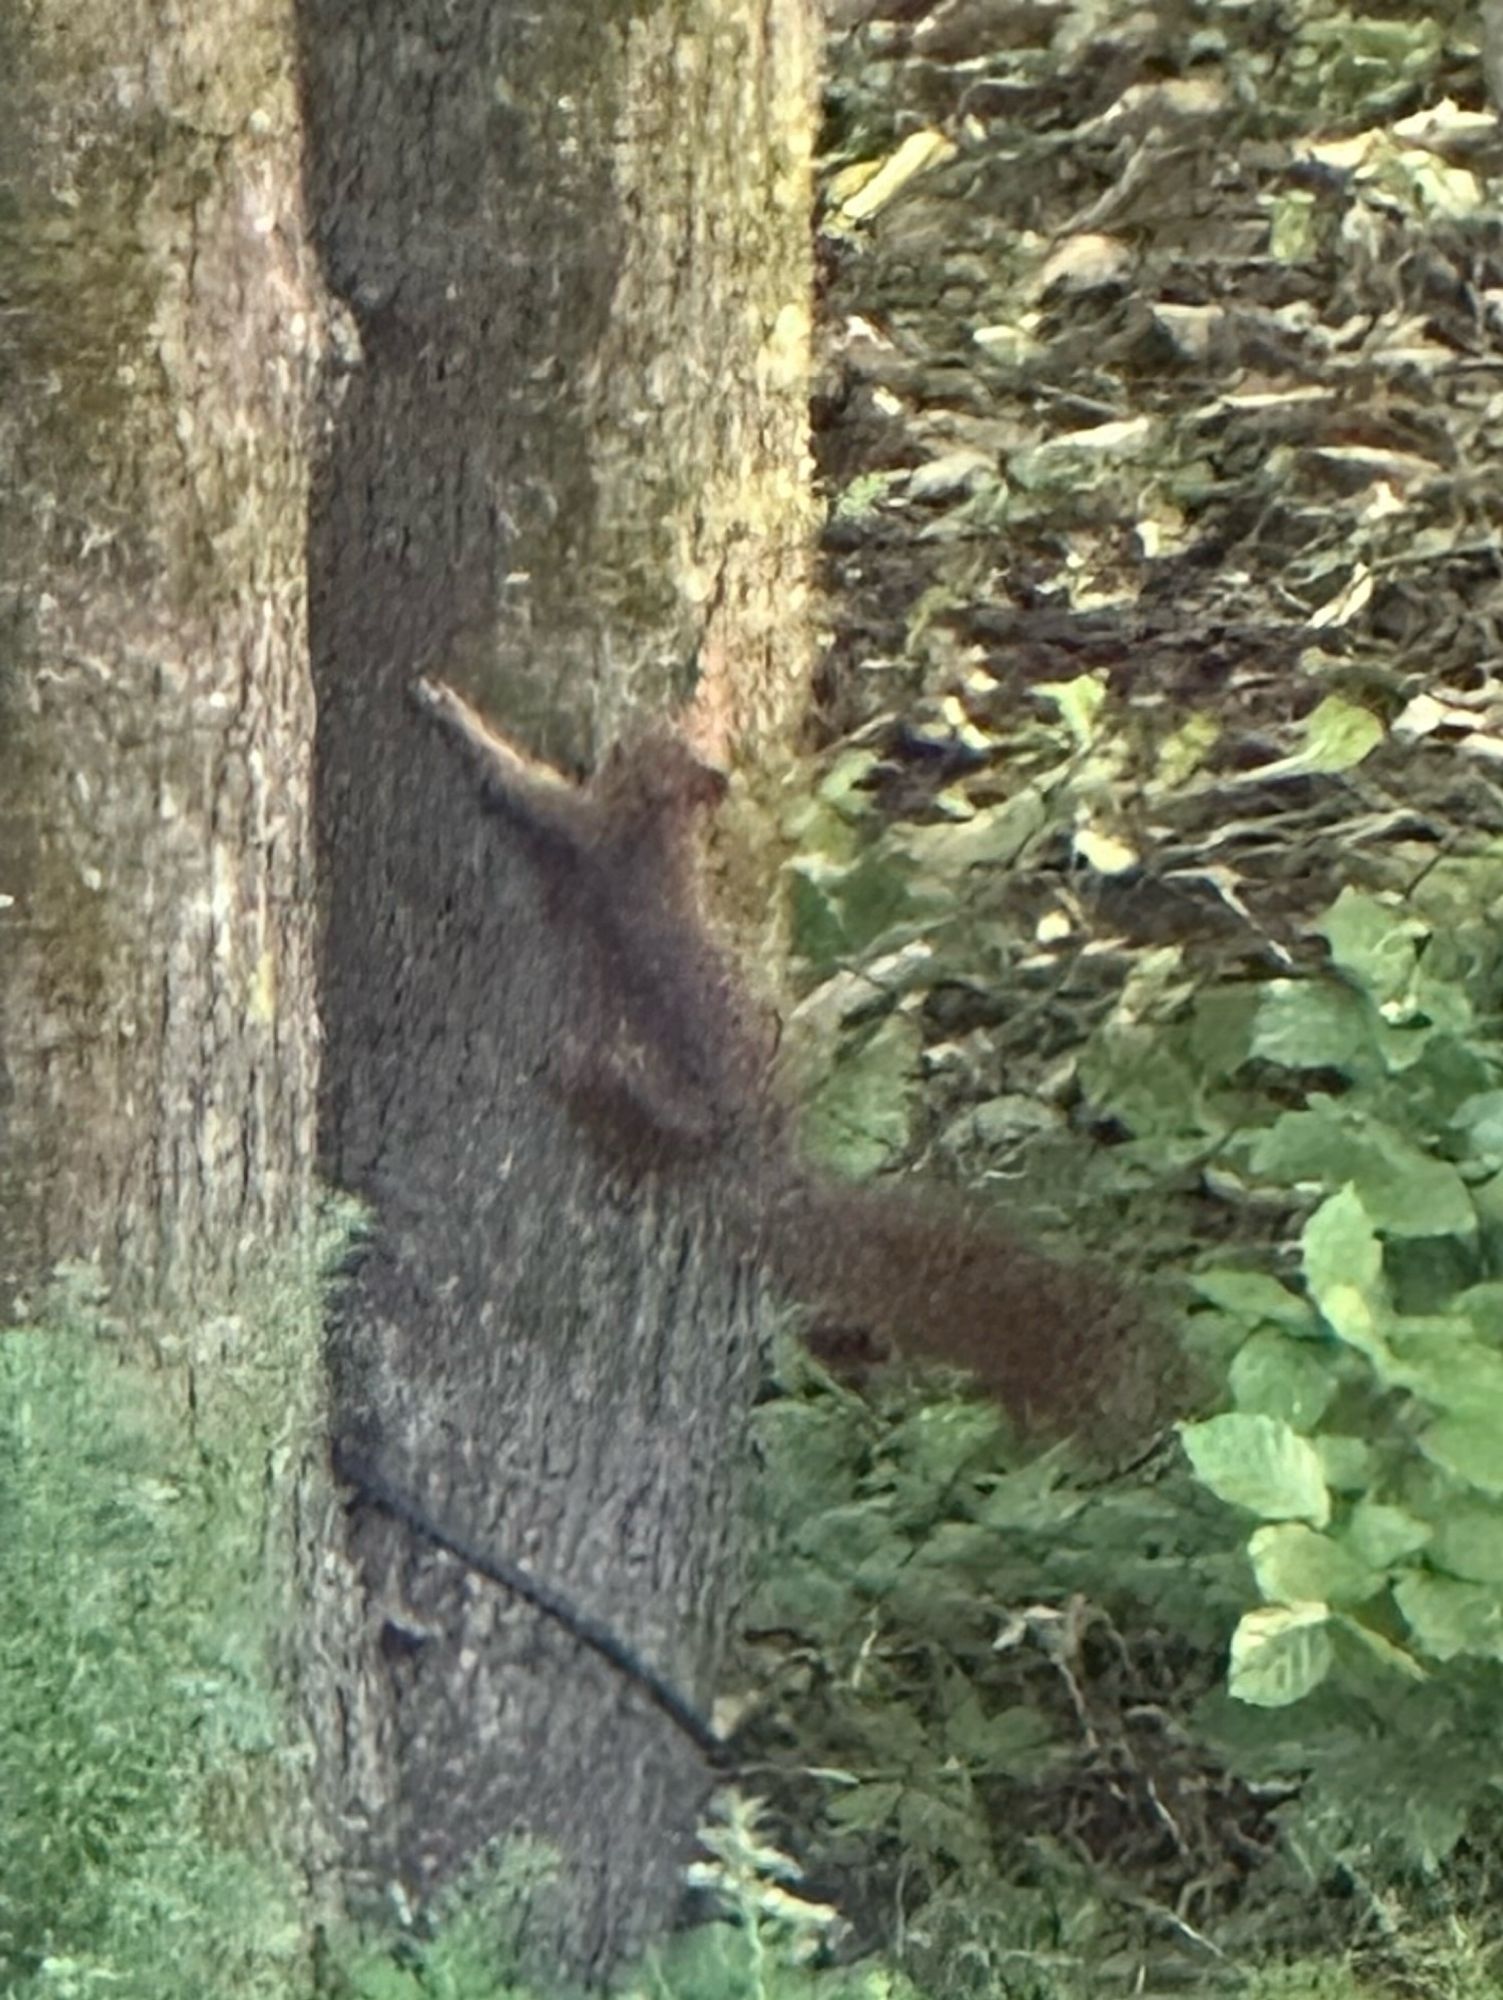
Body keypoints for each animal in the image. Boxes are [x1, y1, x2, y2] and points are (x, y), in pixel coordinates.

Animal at [417, 680, 1183, 1448]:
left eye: (656, 738)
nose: (632, 719)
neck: (661, 830)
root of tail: (764, 1171)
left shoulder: (586, 830)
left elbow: (520, 784)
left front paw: (456, 715)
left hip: (672, 1108)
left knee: (642, 1138)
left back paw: (587, 1091)